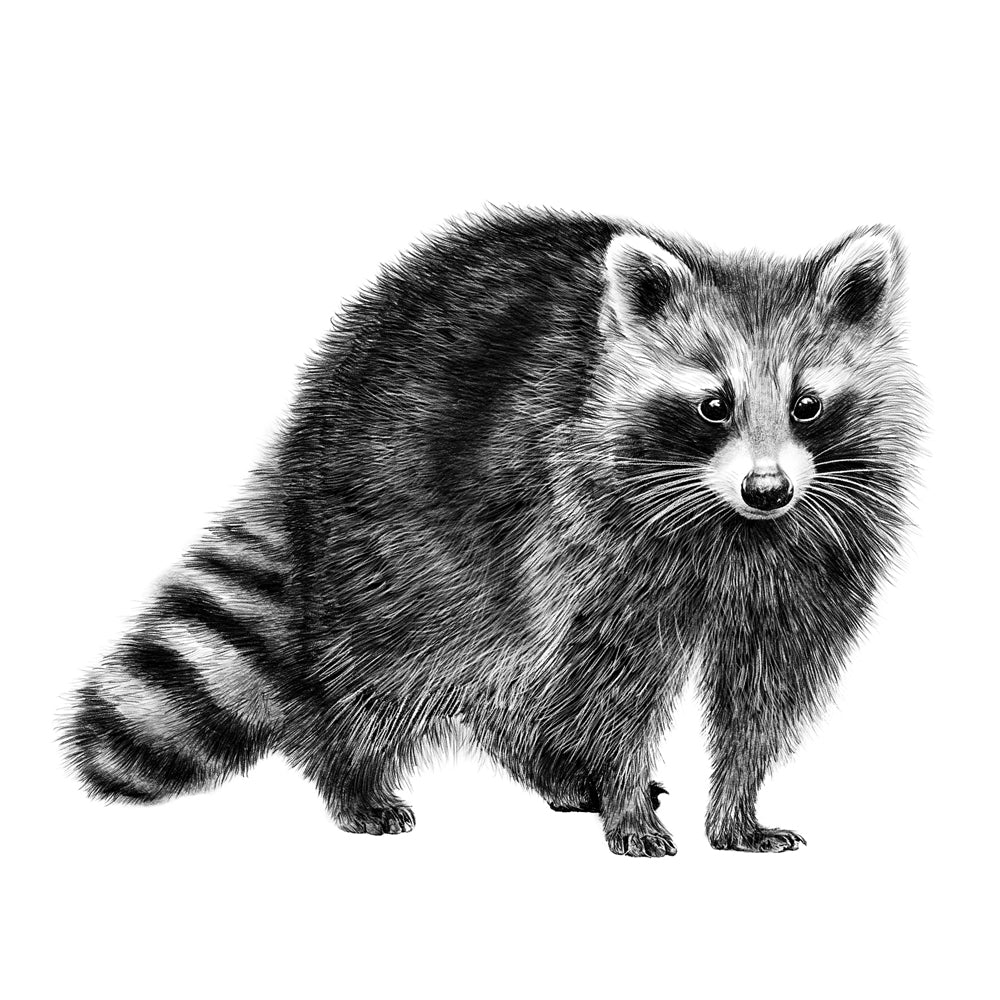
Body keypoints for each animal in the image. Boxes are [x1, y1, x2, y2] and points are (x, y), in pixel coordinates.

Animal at [61, 208, 921, 857]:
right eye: (714, 405)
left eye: (807, 405)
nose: (767, 490)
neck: (732, 524)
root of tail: (310, 418)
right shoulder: (596, 531)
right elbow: (620, 685)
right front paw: (623, 794)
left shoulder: (812, 555)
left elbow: (765, 687)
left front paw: (737, 807)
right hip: (407, 527)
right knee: (395, 659)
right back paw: (349, 770)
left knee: (518, 670)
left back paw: (546, 765)